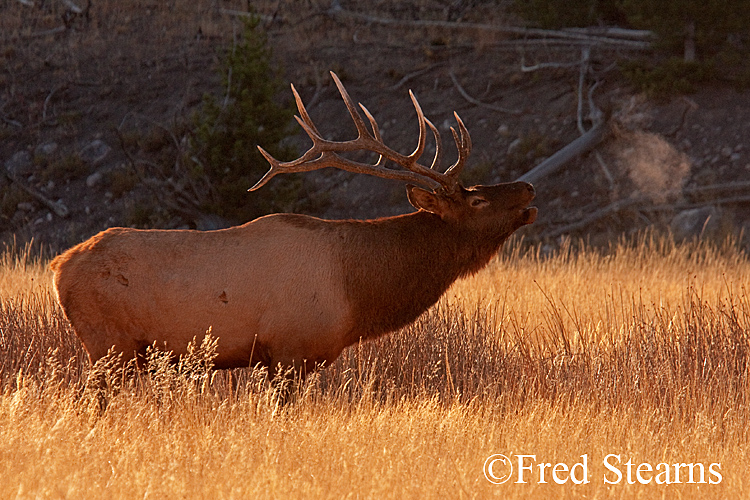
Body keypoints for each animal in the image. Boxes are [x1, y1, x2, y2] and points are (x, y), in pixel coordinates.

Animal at [50, 70, 536, 376]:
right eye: (476, 199)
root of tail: (58, 267)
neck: (358, 291)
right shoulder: (289, 350)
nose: (529, 189)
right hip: (108, 344)